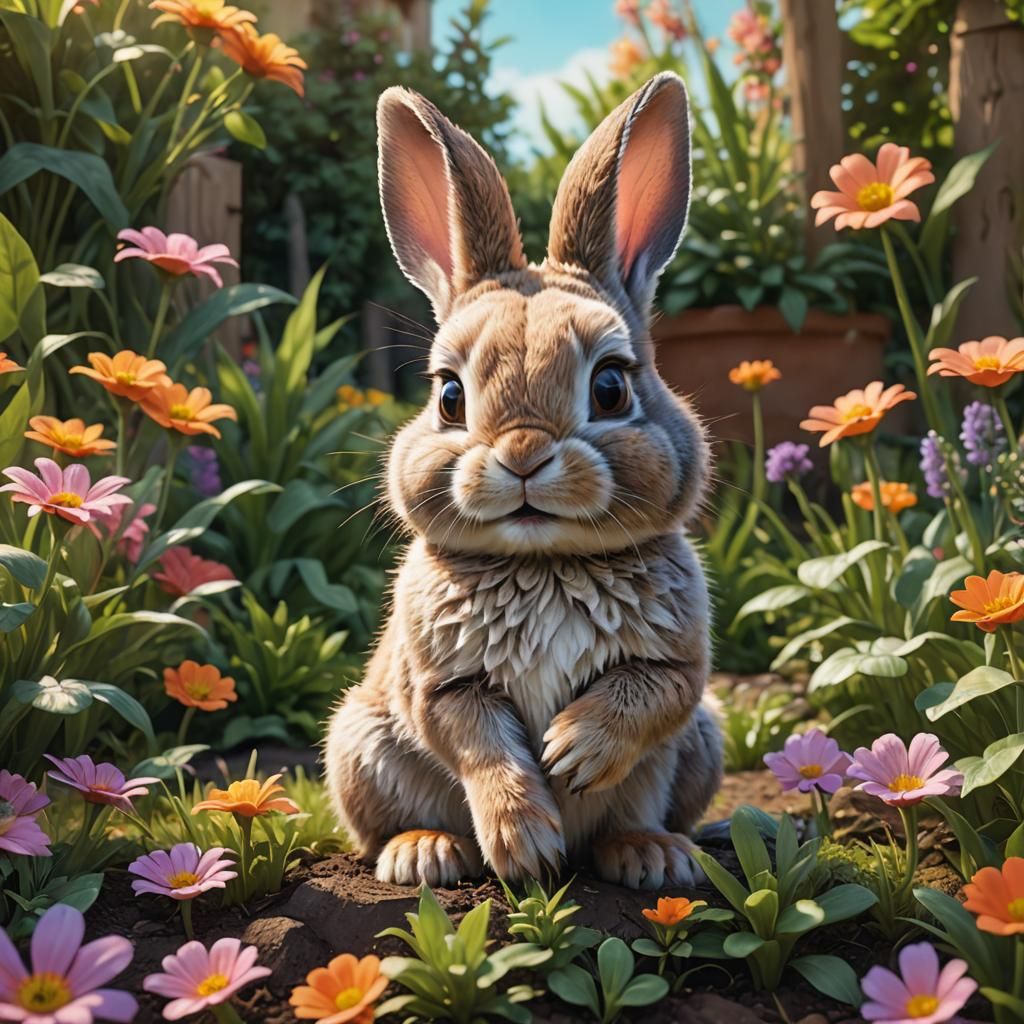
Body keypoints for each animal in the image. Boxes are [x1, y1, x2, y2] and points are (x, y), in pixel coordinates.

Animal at [324, 70, 723, 891]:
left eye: (610, 387)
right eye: (449, 395)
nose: (523, 455)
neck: (546, 565)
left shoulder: (678, 669)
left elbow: (647, 695)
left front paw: (571, 752)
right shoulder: (441, 685)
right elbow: (481, 746)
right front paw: (525, 845)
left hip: (701, 741)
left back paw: (654, 856)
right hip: (359, 742)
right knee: (380, 828)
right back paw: (425, 854)